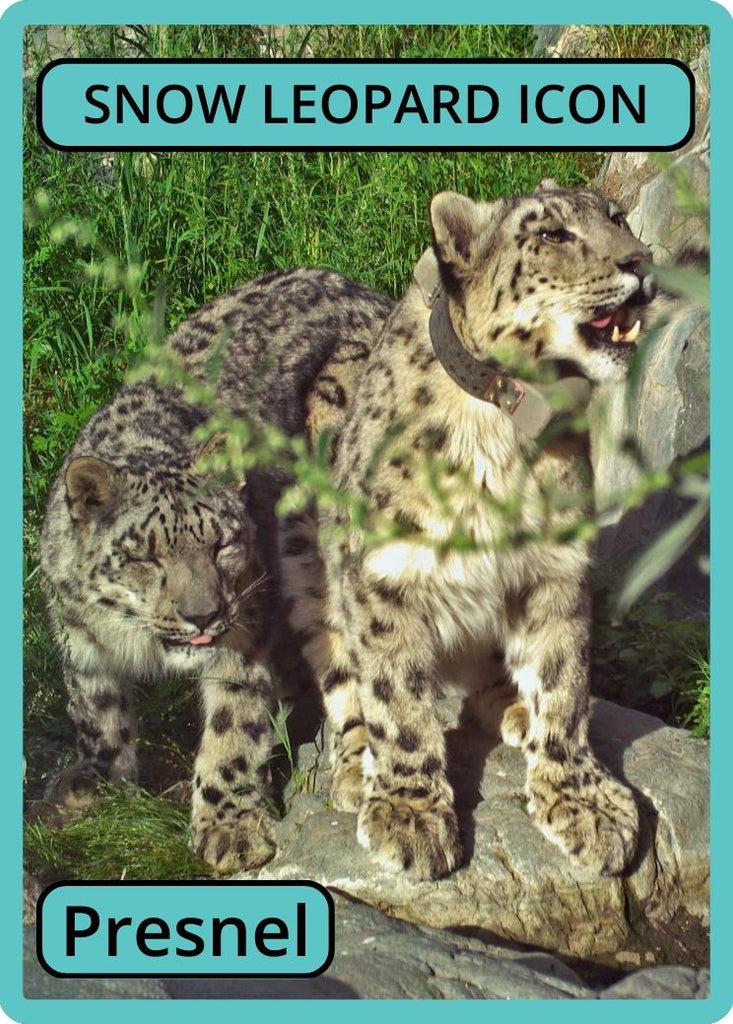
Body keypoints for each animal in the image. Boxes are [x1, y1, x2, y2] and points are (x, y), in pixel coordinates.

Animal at [34, 267, 394, 873]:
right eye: (144, 555)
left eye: (221, 544)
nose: (202, 616)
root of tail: (377, 295)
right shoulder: (78, 636)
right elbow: (96, 710)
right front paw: (96, 785)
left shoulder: (245, 630)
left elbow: (232, 722)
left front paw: (229, 829)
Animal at [286, 181, 657, 881]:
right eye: (553, 234)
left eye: (619, 219)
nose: (642, 261)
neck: (505, 430)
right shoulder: (386, 579)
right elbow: (398, 702)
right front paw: (409, 814)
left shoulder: (556, 568)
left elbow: (564, 683)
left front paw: (583, 802)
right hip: (310, 583)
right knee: (345, 681)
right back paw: (354, 771)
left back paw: (513, 710)